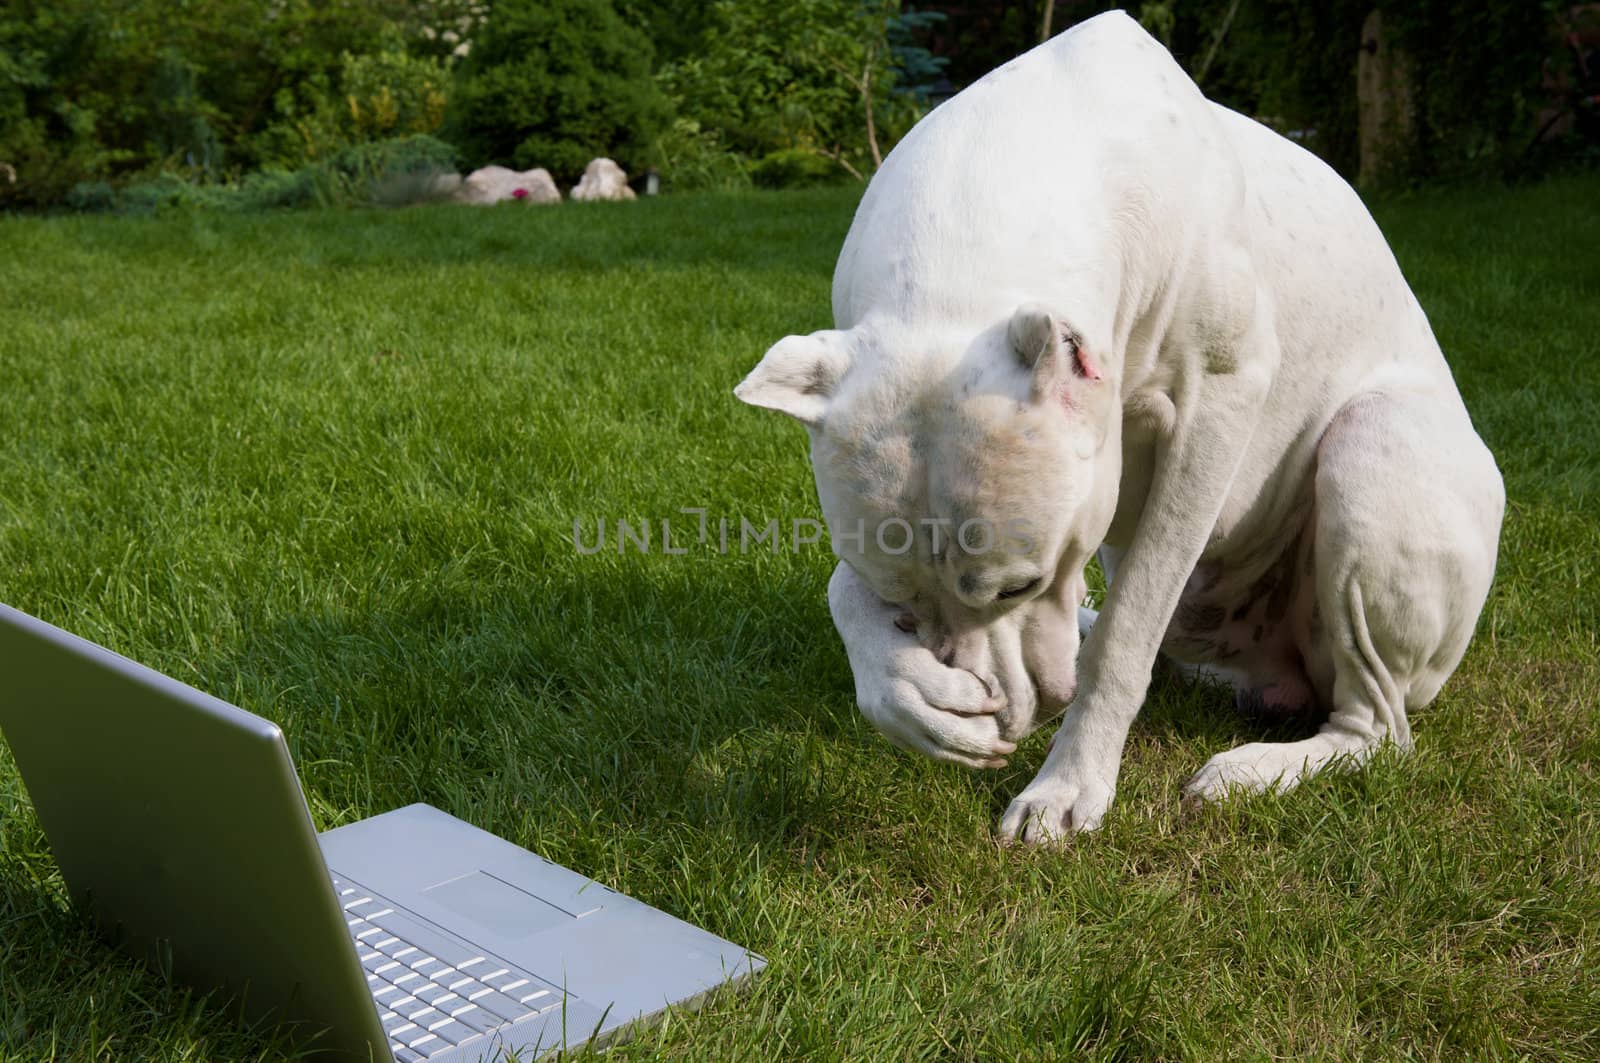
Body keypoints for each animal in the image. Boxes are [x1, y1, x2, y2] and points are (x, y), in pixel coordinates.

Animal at [732, 8, 1497, 838]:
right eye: (896, 593)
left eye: (1020, 584)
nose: (1011, 713)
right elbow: (843, 587)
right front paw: (908, 692)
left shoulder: (1216, 407)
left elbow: (1127, 634)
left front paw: (1067, 784)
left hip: (1370, 450)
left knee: (1377, 723)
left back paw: (1254, 770)